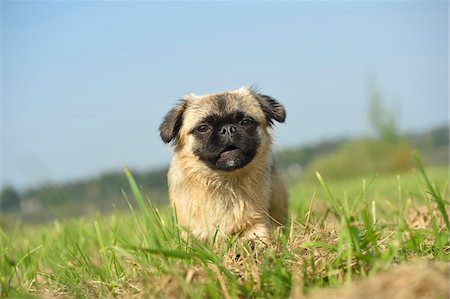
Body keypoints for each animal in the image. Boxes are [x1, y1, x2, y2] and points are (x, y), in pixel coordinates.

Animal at [160, 86, 288, 244]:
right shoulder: (191, 232)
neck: (224, 183)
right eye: (203, 128)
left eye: (246, 121)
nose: (227, 129)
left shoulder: (257, 223)